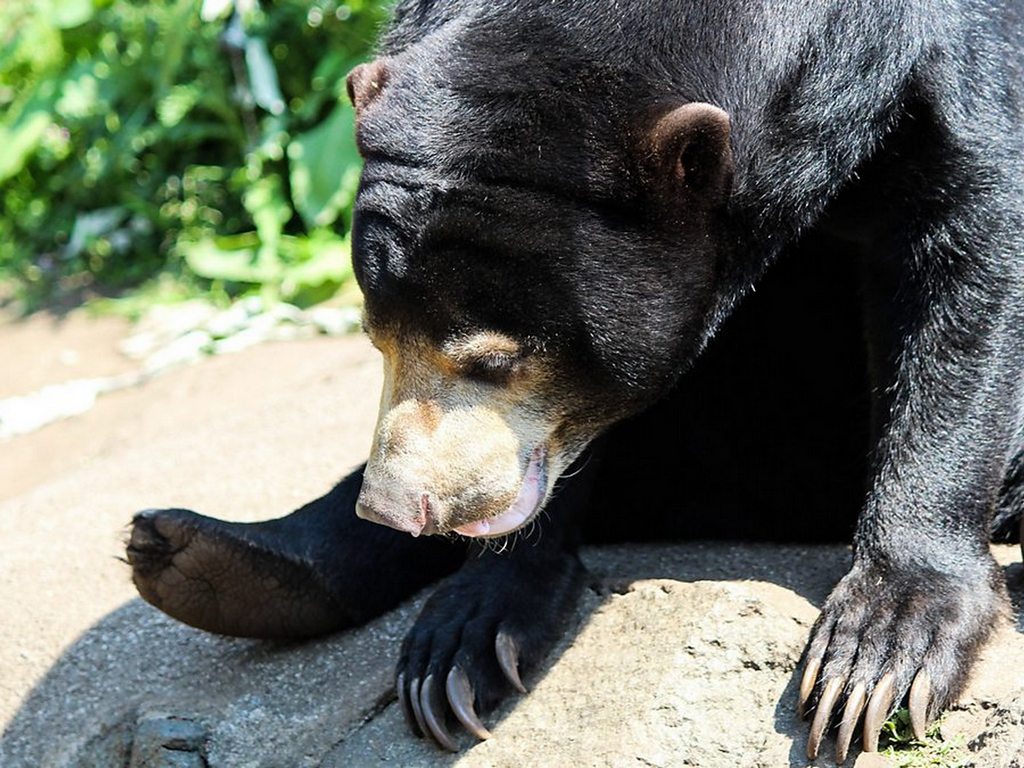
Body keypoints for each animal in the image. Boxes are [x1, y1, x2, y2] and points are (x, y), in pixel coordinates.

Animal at [128, 1, 1024, 765]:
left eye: (495, 359)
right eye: (375, 338)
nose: (397, 507)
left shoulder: (944, 77)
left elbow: (969, 253)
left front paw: (878, 656)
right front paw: (466, 634)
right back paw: (212, 559)